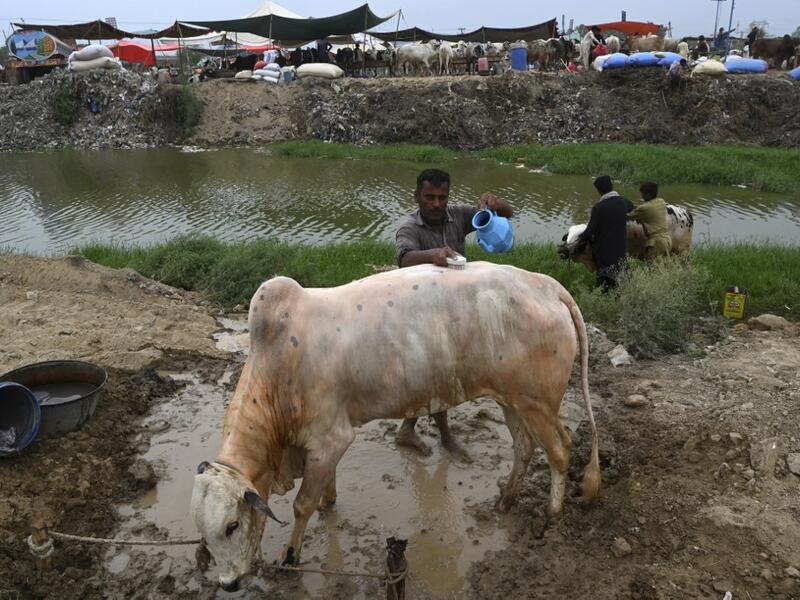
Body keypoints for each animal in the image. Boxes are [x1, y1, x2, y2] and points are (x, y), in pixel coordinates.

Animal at [191, 263, 602, 591]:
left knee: (560, 450)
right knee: (525, 447)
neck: (277, 369)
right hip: (511, 399)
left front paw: (290, 558)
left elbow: (301, 505)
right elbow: (325, 489)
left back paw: (551, 514)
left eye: (231, 526)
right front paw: (329, 502)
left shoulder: (330, 439)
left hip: (538, 403)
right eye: (204, 534)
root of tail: (546, 285)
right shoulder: (327, 446)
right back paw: (505, 500)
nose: (229, 584)